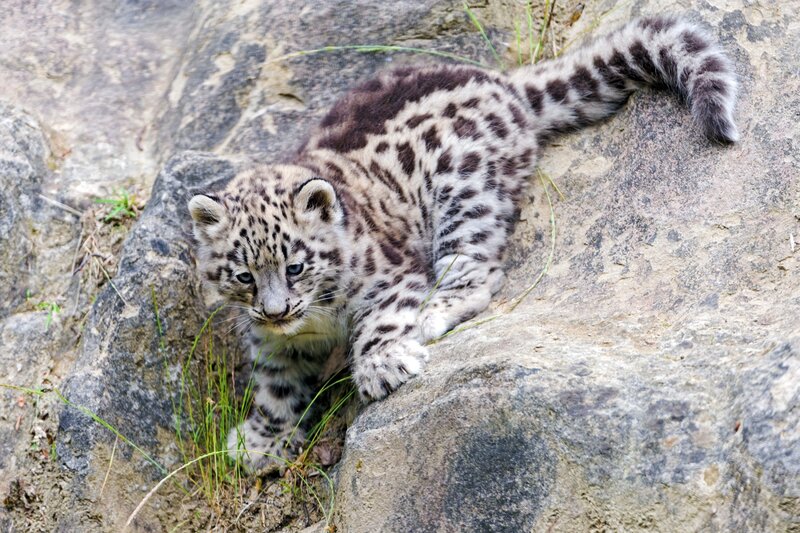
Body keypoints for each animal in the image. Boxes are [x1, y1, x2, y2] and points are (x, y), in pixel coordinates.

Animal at [188, 15, 738, 470]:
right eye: (243, 275)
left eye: (296, 266)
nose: (276, 310)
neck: (314, 322)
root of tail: (500, 82)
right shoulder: (272, 343)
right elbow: (276, 387)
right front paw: (261, 441)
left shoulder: (390, 277)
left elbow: (379, 322)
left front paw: (381, 365)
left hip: (465, 196)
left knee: (476, 270)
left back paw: (433, 313)